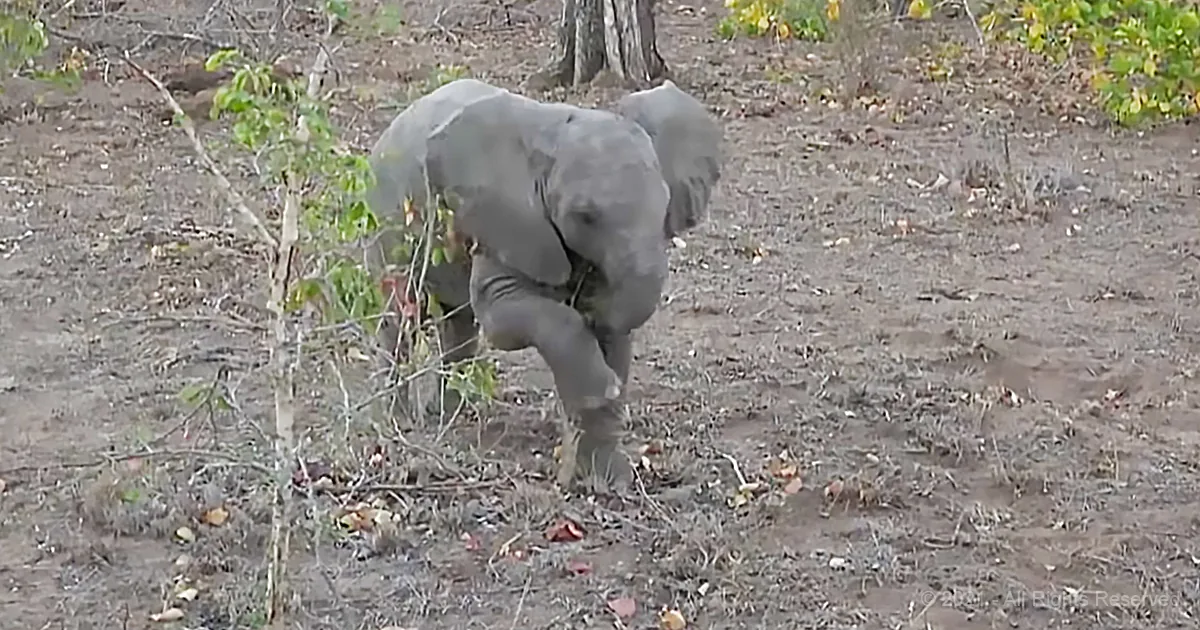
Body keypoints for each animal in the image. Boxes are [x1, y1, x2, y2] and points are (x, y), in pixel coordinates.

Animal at [362, 78, 723, 492]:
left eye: (665, 206)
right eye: (585, 216)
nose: (590, 301)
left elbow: (615, 341)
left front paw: (604, 483)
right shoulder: (506, 220)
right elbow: (503, 319)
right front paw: (603, 388)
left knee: (457, 322)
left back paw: (454, 414)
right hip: (386, 217)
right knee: (400, 316)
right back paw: (398, 422)